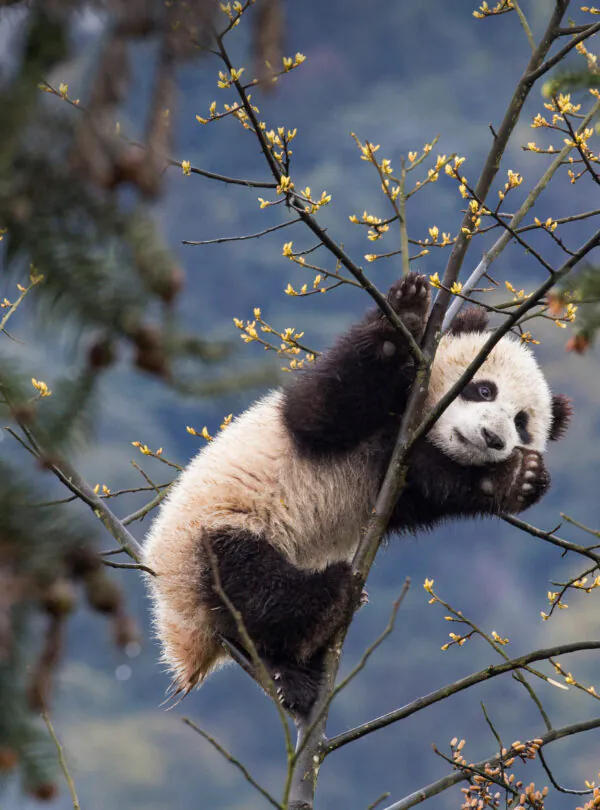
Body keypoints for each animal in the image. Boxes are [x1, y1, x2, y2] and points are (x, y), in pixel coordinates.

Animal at [143, 272, 571, 716]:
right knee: (250, 583)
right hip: (210, 536)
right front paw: (406, 314)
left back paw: (295, 668)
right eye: (484, 390)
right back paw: (330, 600)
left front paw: (517, 478)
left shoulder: (399, 473)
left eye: (521, 424)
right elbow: (324, 410)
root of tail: (184, 635)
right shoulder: (327, 417)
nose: (491, 438)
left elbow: (431, 487)